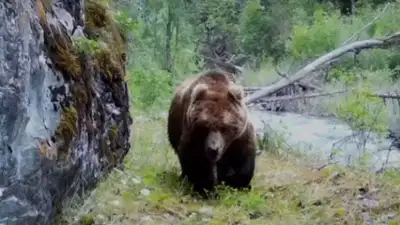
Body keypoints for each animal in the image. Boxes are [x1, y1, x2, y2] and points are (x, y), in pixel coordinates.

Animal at [166, 69, 256, 197]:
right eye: (205, 126)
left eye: (224, 127)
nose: (213, 149)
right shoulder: (193, 135)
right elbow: (197, 160)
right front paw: (207, 190)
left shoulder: (240, 136)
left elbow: (242, 155)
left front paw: (239, 184)